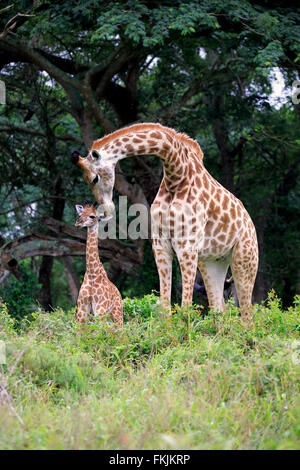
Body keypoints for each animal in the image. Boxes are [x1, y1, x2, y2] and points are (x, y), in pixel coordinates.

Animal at [71, 123, 258, 322]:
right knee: (219, 311)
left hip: (244, 260)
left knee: (247, 314)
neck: (176, 174)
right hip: (212, 263)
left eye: (94, 178)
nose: (105, 211)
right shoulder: (161, 245)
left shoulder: (187, 246)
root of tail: (251, 225)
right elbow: (164, 308)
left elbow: (185, 308)